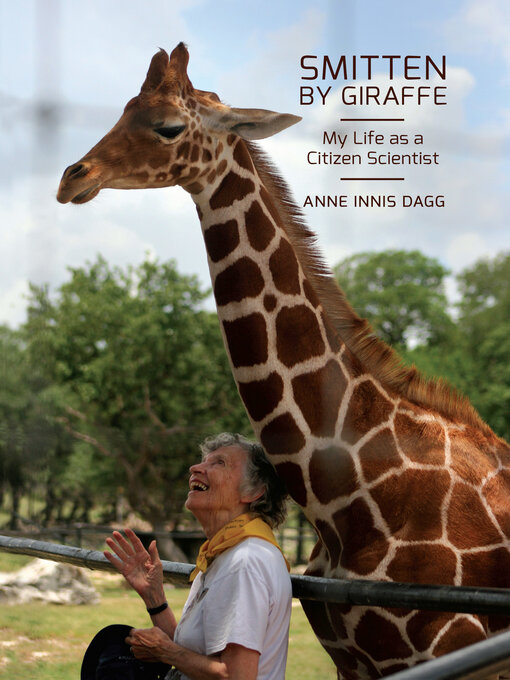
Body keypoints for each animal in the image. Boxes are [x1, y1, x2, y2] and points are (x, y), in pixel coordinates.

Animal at [56, 43, 510, 679]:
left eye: (168, 126)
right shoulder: (353, 660)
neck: (350, 503)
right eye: (123, 109)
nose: (73, 178)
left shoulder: (451, 650)